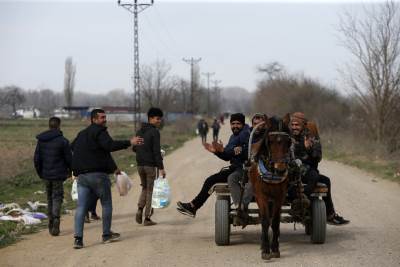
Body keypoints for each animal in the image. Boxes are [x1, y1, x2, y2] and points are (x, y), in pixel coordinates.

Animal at [248, 115, 292, 262]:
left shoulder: (279, 197)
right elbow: (266, 221)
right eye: (270, 141)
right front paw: (266, 250)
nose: (280, 169)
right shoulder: (261, 196)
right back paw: (263, 244)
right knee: (263, 218)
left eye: (288, 141)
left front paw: (275, 249)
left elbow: (275, 222)